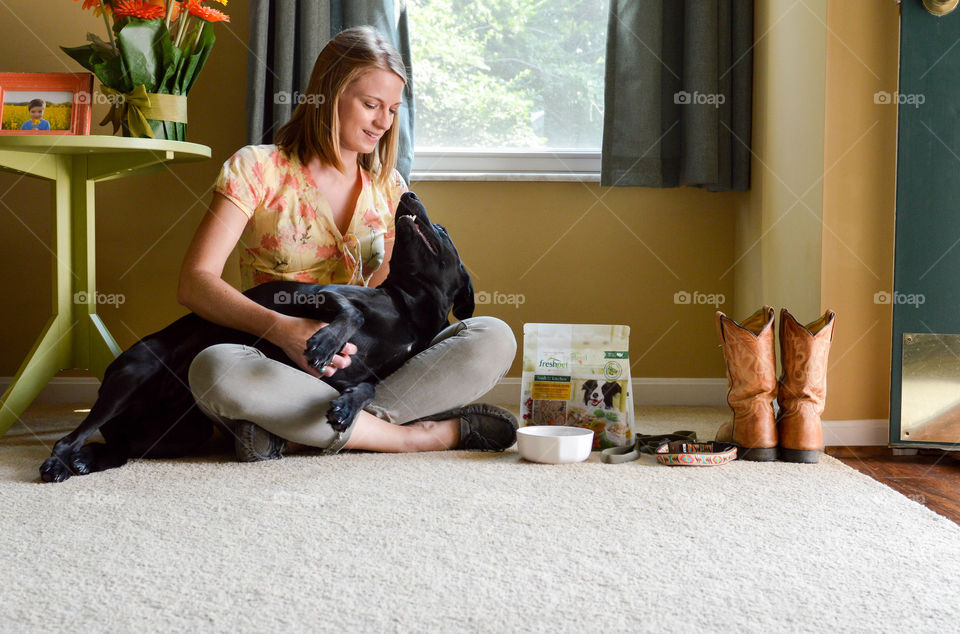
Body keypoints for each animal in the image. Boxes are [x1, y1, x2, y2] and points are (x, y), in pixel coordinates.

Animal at [39, 190, 474, 482]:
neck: (405, 305)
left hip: (178, 433)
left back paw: (85, 461)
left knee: (117, 449)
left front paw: (346, 408)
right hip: (134, 374)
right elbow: (351, 311)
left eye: (441, 230)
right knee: (71, 438)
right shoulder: (310, 295)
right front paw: (323, 343)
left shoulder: (357, 375)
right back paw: (58, 462)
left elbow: (367, 389)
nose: (408, 193)